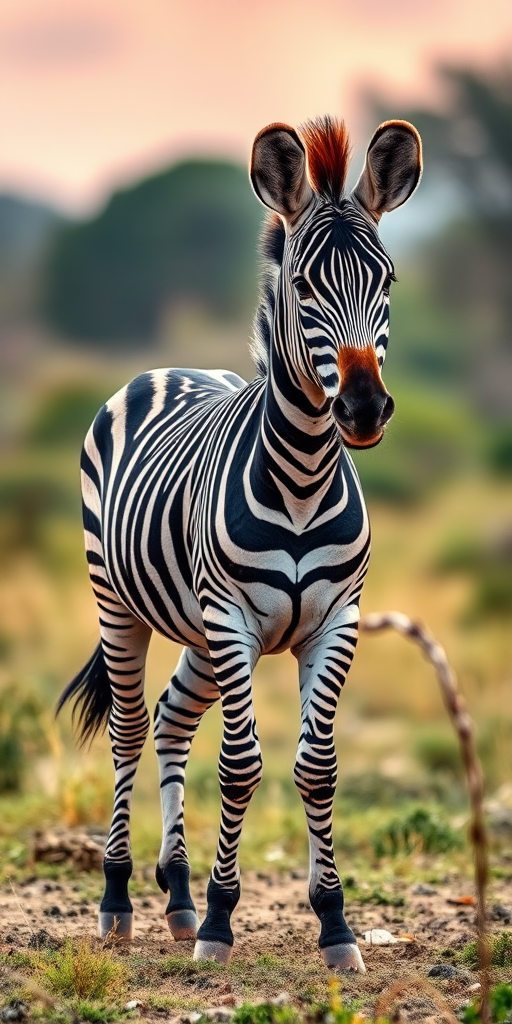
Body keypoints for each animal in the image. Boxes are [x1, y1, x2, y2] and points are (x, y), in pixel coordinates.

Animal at [58, 116, 422, 972]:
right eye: (306, 287)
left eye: (388, 281)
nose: (364, 409)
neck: (303, 475)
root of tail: (168, 366)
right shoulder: (234, 619)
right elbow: (241, 763)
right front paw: (224, 919)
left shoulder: (334, 621)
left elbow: (316, 766)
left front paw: (334, 923)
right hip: (121, 602)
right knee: (131, 728)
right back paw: (120, 900)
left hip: (198, 631)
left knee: (170, 719)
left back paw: (179, 897)